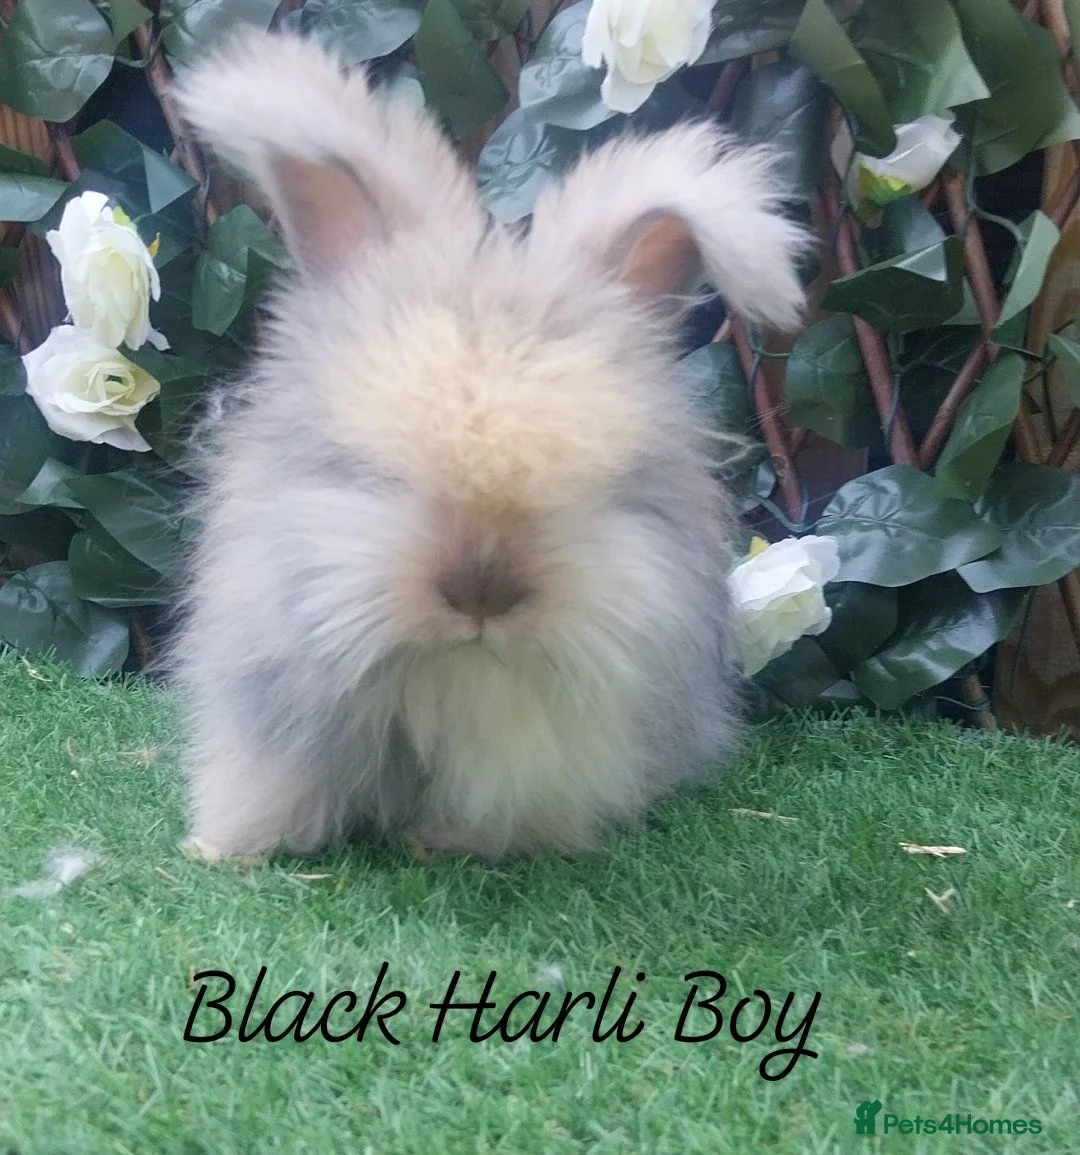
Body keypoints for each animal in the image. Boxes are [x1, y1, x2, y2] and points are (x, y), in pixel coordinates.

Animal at [169, 30, 809, 862]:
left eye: (590, 491)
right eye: (380, 473)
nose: (481, 593)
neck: (459, 674)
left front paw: (442, 843)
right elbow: (272, 783)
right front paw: (224, 848)